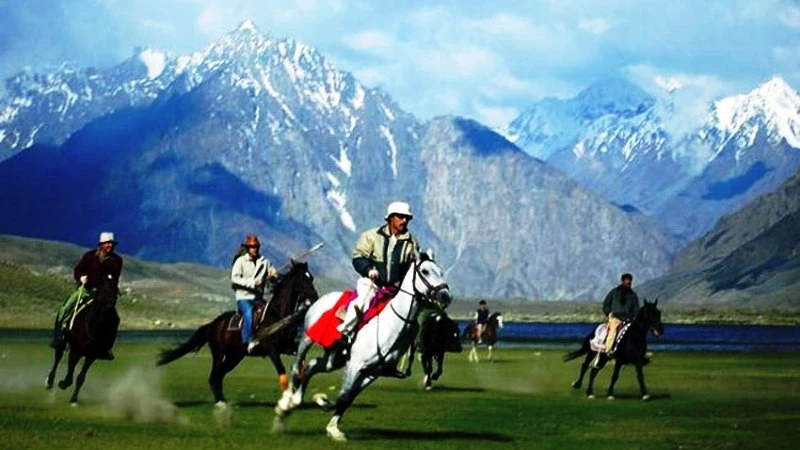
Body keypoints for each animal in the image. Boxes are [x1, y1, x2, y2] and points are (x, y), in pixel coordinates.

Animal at [46, 274, 119, 404]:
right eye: (104, 287)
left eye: (116, 288)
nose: (110, 306)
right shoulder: (76, 351)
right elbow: (70, 375)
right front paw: (63, 384)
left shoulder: (92, 356)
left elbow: (80, 378)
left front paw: (73, 399)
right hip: (62, 342)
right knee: (58, 357)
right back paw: (49, 381)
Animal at [156, 260, 318, 404]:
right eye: (304, 278)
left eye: (311, 277)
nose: (315, 297)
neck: (277, 315)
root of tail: (212, 324)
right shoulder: (271, 349)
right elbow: (281, 371)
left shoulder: (289, 347)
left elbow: (301, 361)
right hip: (219, 353)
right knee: (214, 377)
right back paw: (220, 402)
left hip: (234, 356)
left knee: (219, 376)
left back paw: (223, 400)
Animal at [274, 251, 450, 442]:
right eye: (425, 271)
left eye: (440, 271)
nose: (445, 296)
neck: (392, 325)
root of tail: (318, 300)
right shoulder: (355, 364)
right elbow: (345, 394)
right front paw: (326, 413)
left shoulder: (372, 372)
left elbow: (347, 397)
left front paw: (328, 415)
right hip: (307, 339)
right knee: (297, 366)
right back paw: (286, 403)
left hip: (335, 358)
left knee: (312, 366)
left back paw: (296, 401)